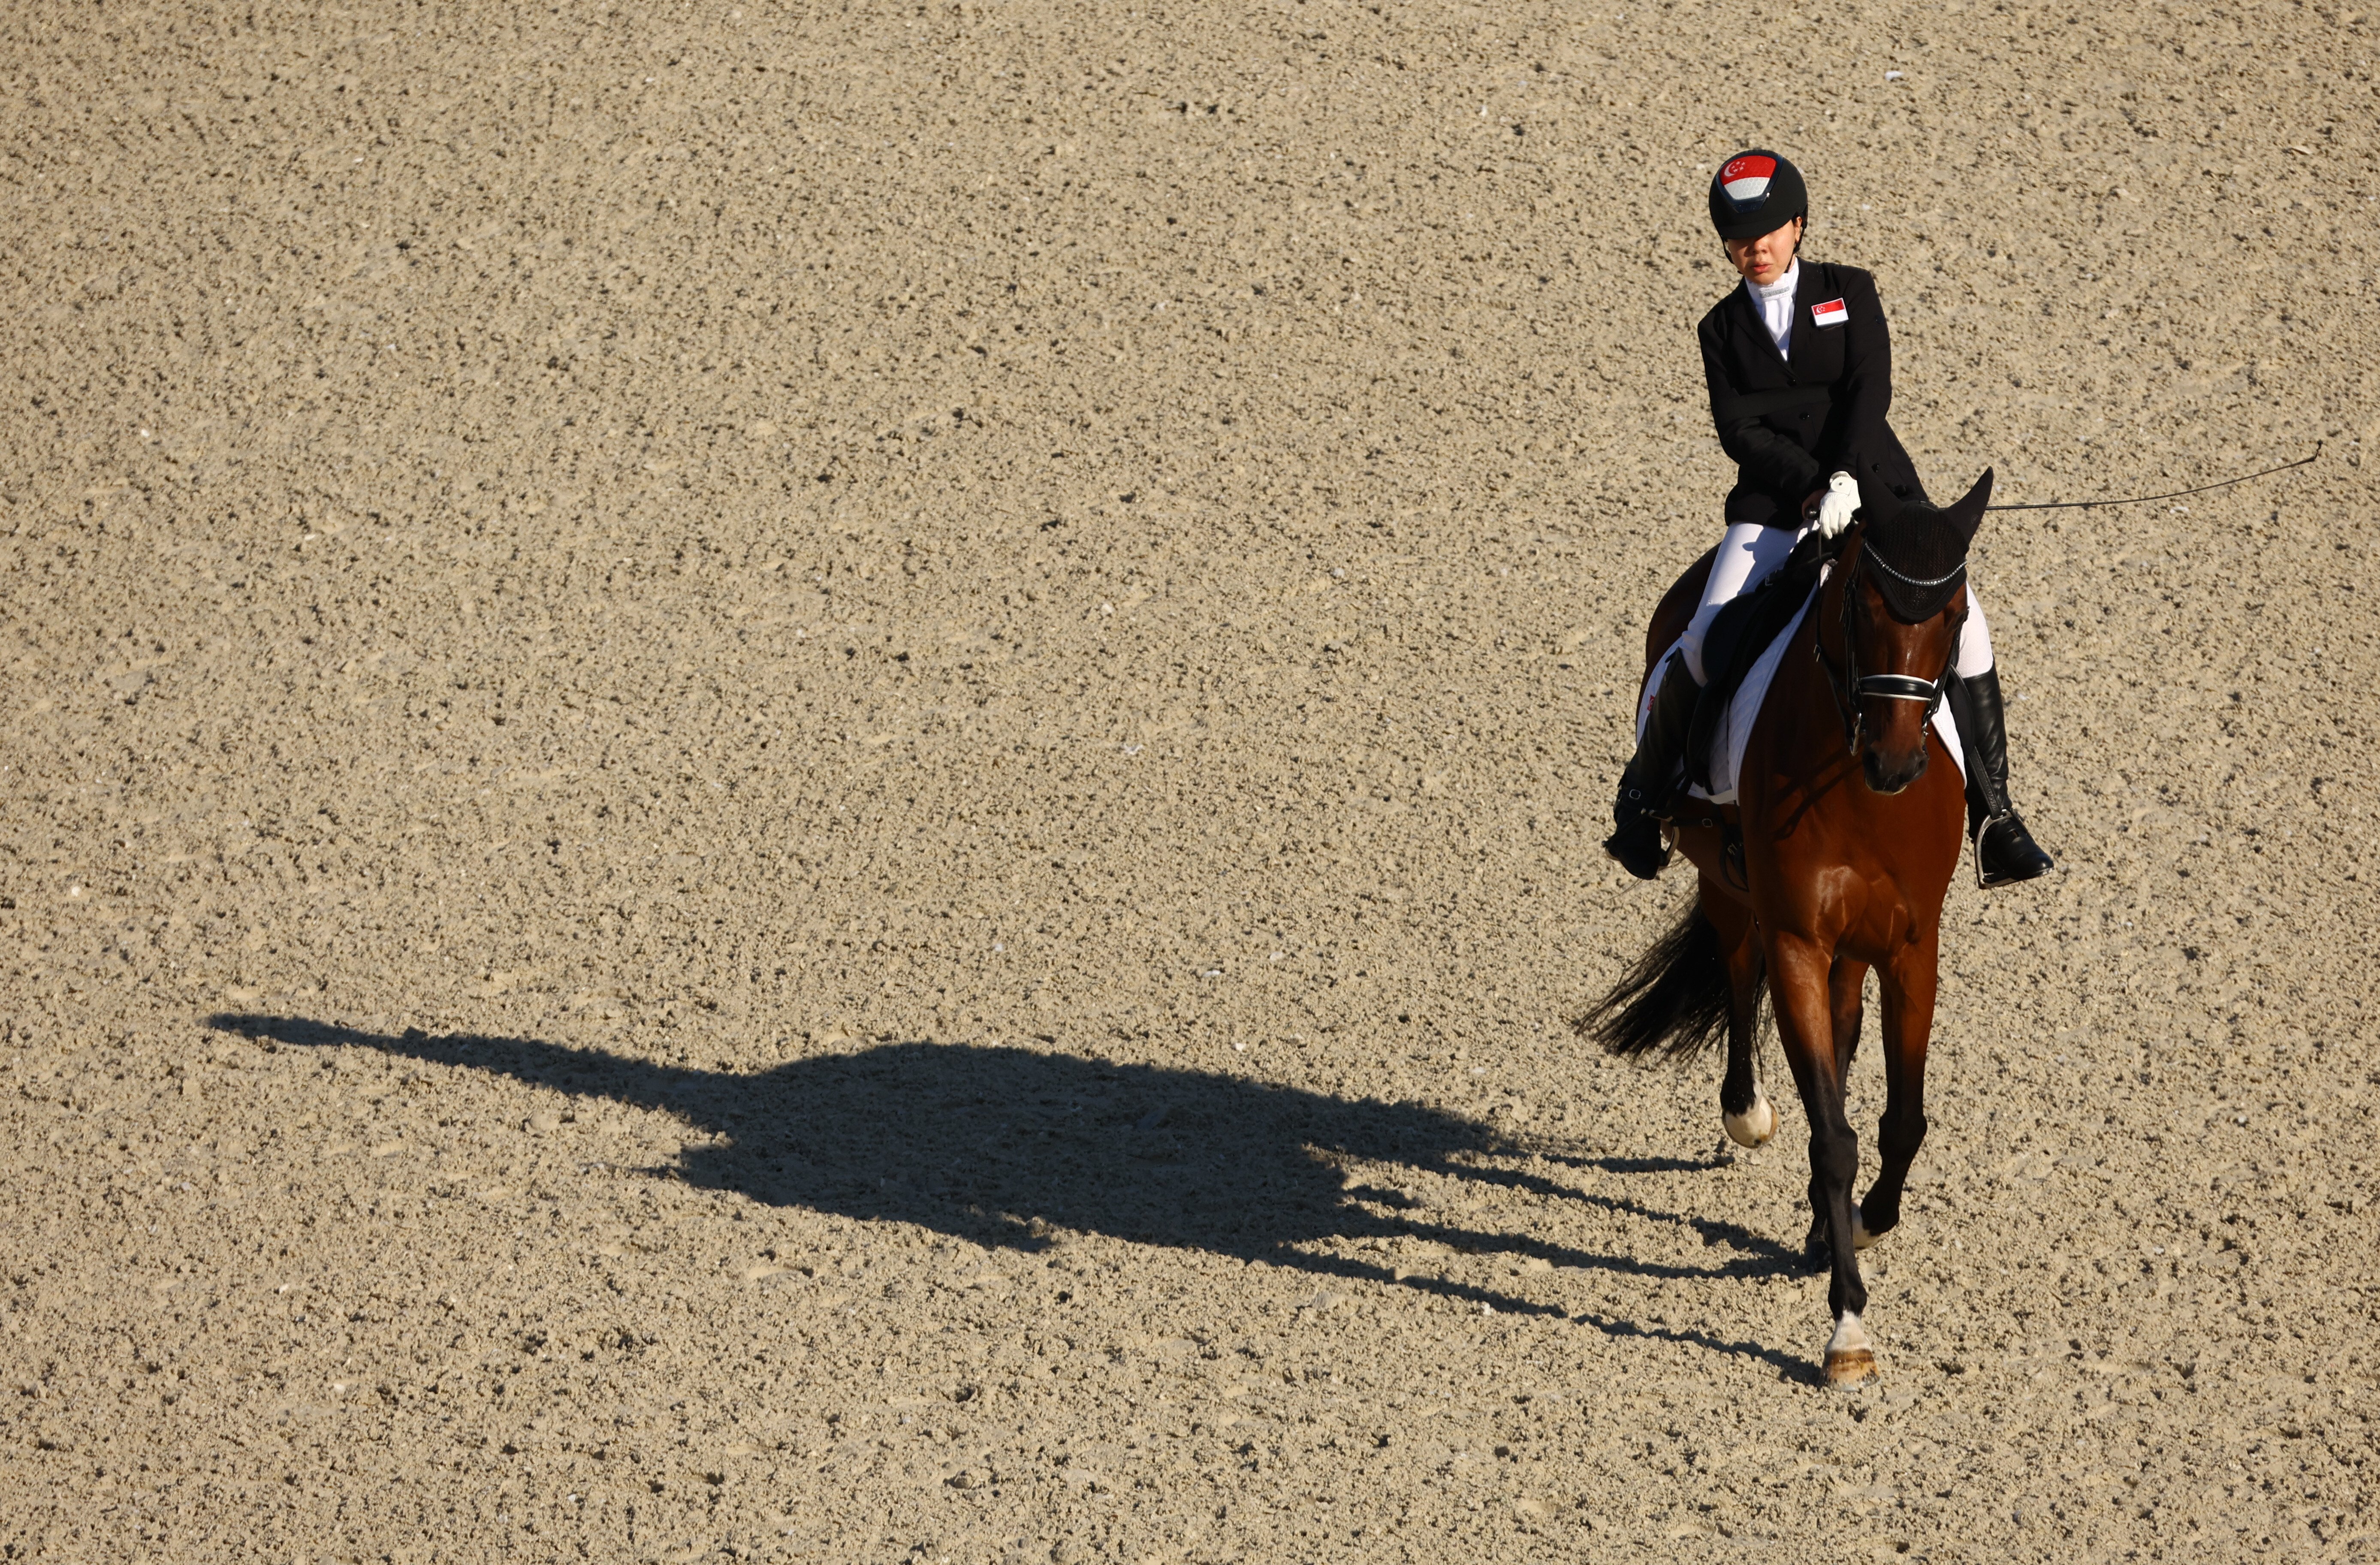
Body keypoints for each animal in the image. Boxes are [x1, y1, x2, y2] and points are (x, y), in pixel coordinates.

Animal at [1580, 469, 1989, 1381]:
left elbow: (1898, 1119)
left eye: (1951, 616)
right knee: (1740, 975)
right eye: (1861, 606)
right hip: (1728, 884)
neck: (1855, 790)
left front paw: (1861, 1223)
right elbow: (1831, 1136)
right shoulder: (1796, 938)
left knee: (1837, 1031)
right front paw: (1846, 1324)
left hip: (1849, 946)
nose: (1895, 763)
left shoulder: (1910, 948)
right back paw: (1747, 1111)